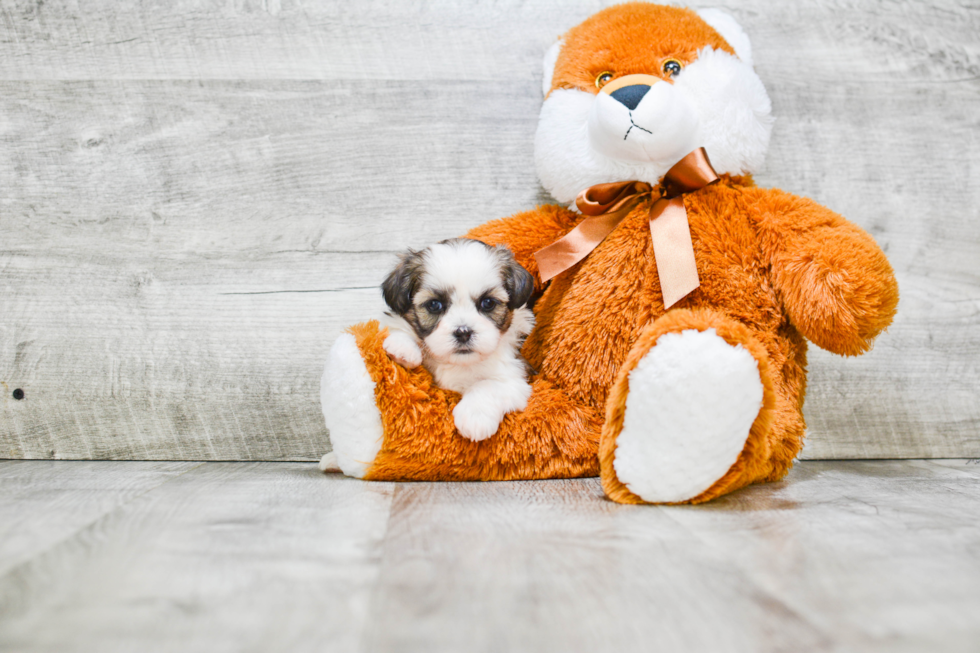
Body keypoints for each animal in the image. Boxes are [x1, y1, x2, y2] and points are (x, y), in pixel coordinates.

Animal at [382, 237, 536, 440]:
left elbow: (489, 384)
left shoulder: (516, 376)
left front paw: (475, 416)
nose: (463, 332)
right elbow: (400, 325)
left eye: (488, 303)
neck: (459, 363)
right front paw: (403, 347)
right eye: (434, 305)